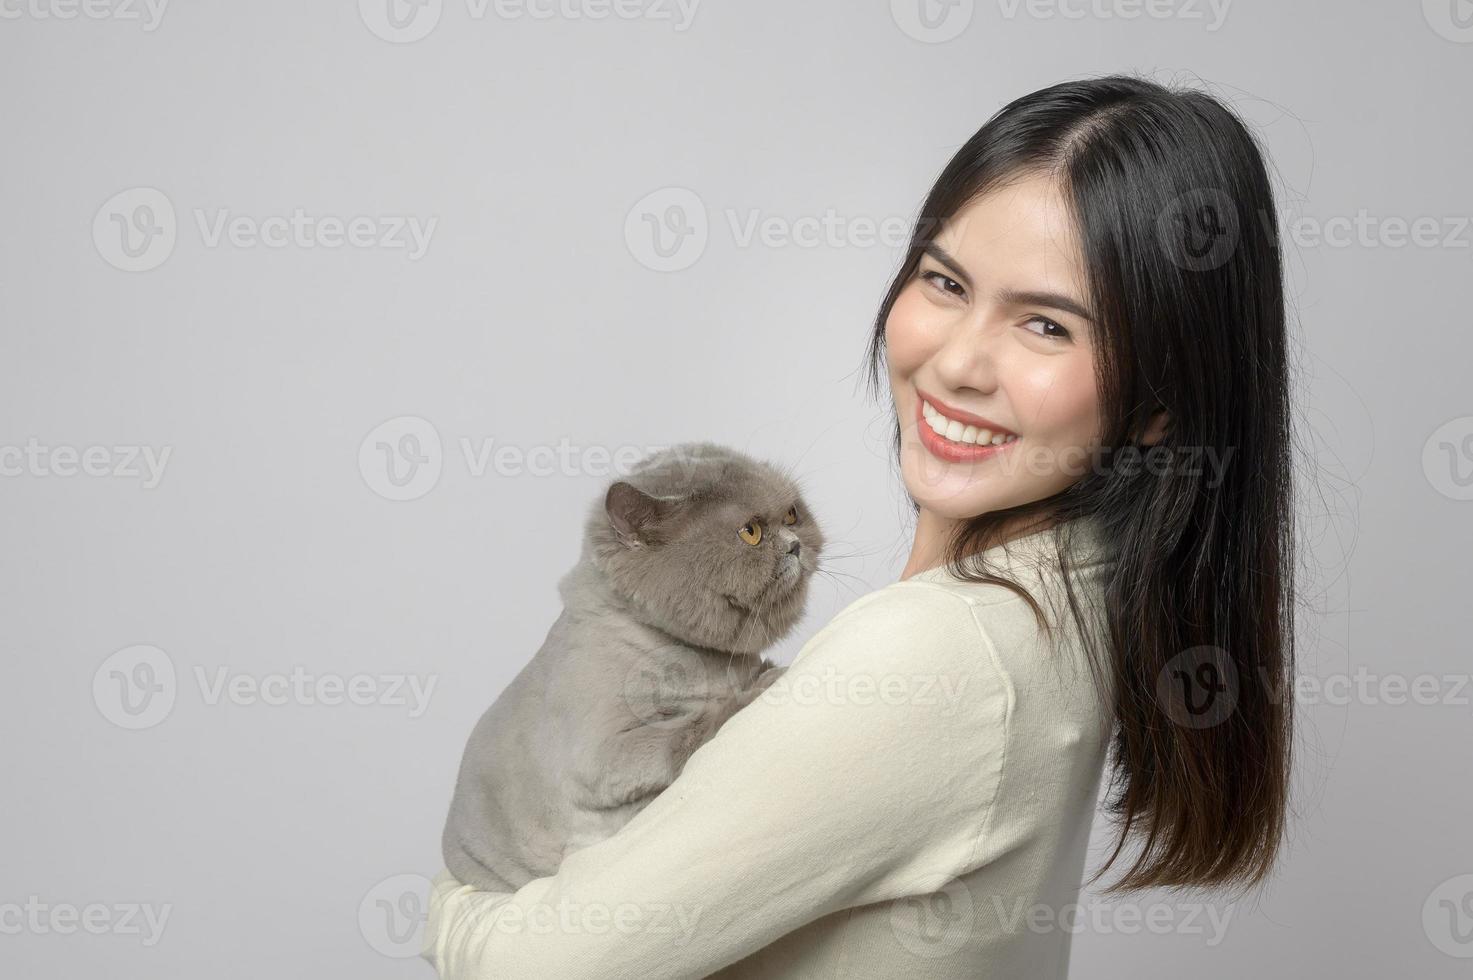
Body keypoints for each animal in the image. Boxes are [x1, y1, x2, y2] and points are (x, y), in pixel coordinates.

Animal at [441, 439, 824, 890]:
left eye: (792, 515)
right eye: (751, 532)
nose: (794, 543)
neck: (708, 662)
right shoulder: (600, 753)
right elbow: (688, 725)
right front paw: (759, 687)